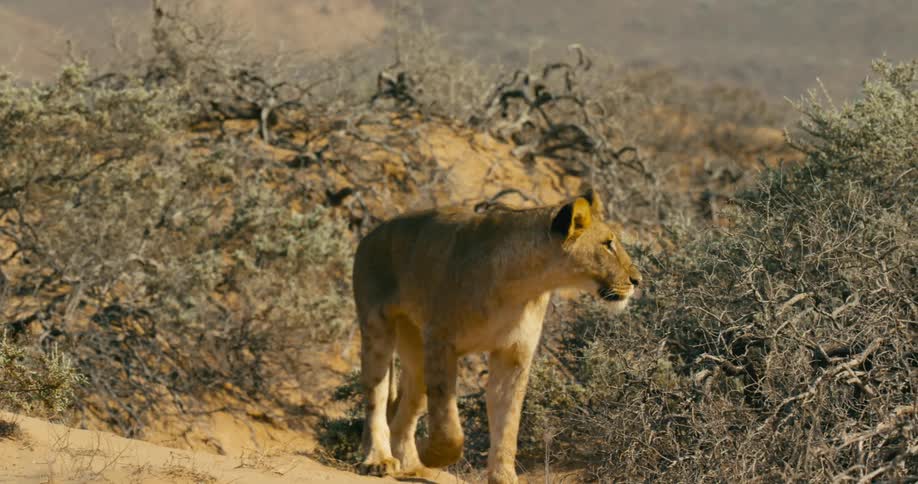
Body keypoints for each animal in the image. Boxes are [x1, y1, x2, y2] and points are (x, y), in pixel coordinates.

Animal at [352, 189, 642, 484]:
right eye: (608, 244)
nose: (637, 280)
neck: (524, 283)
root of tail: (371, 234)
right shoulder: (440, 341)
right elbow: (448, 425)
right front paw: (433, 455)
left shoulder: (513, 354)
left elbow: (508, 423)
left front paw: (503, 476)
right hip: (378, 327)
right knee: (376, 398)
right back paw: (380, 460)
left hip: (415, 347)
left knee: (405, 408)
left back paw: (412, 465)